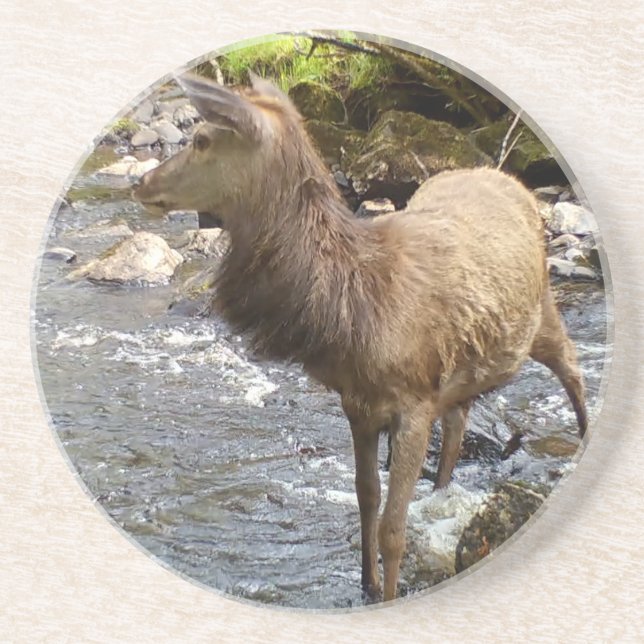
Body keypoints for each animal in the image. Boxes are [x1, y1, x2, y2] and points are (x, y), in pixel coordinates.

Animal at [133, 73, 587, 602]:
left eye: (202, 139)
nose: (140, 183)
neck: (353, 313)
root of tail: (510, 180)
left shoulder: (413, 402)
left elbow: (393, 528)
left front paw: (387, 592)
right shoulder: (358, 403)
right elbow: (365, 496)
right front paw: (366, 584)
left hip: (543, 312)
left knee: (572, 367)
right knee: (460, 419)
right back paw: (443, 487)